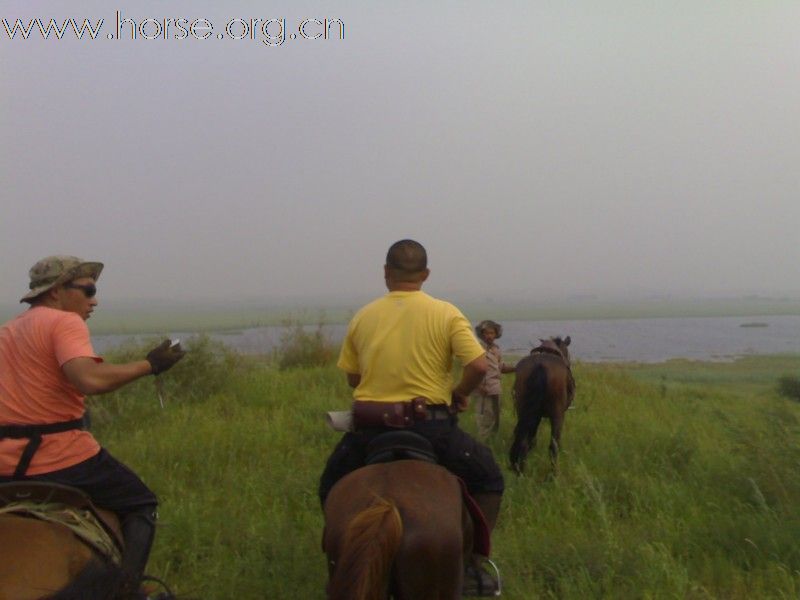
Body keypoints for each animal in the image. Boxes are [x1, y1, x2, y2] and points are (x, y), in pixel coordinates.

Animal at [512, 338, 576, 474]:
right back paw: (553, 474)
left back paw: (521, 471)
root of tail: (540, 366)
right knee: (553, 446)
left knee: (523, 441)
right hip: (557, 416)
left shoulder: (535, 416)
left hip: (523, 411)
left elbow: (531, 438)